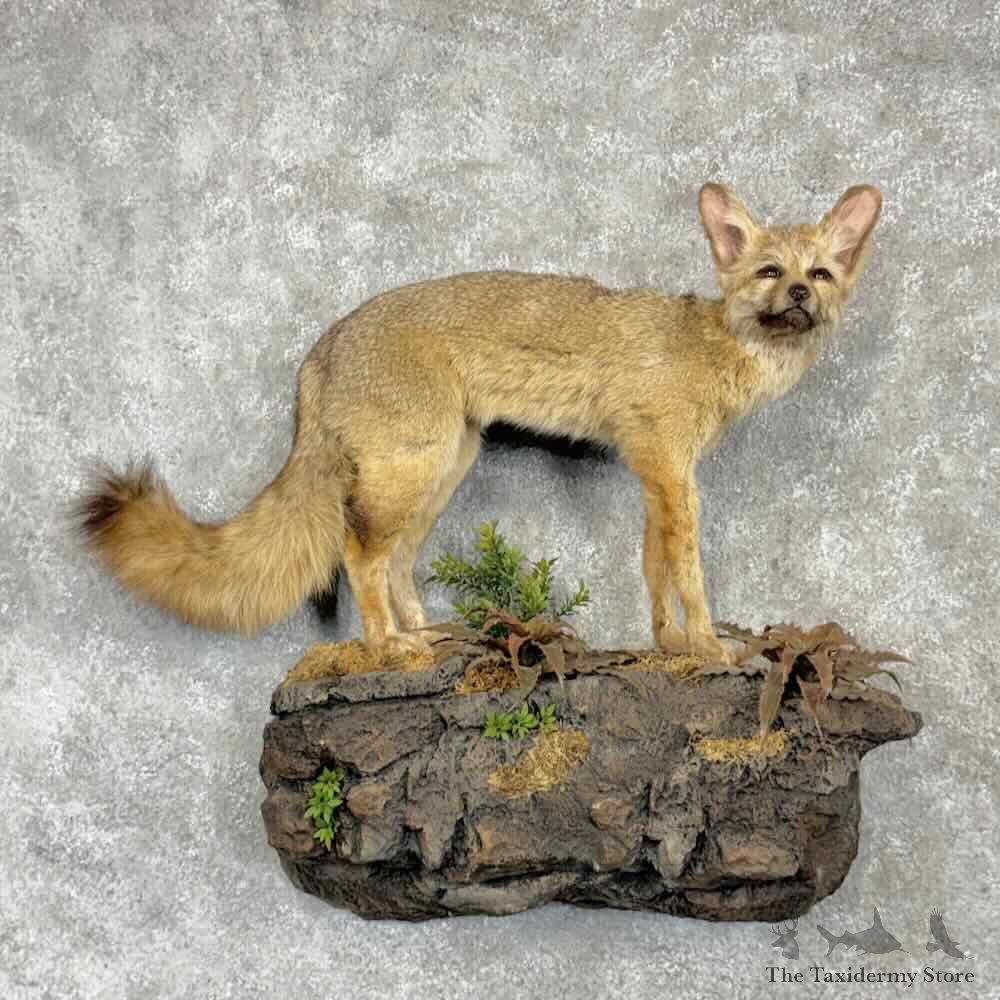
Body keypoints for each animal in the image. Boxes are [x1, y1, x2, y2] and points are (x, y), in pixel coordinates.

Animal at [76, 182, 882, 664]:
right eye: (770, 272)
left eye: (821, 273)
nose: (802, 296)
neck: (716, 346)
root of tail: (325, 343)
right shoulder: (668, 467)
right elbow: (687, 570)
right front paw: (710, 646)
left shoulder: (659, 472)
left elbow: (655, 568)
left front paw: (668, 644)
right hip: (412, 470)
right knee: (358, 553)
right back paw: (388, 649)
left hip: (443, 470)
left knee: (395, 561)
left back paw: (423, 632)